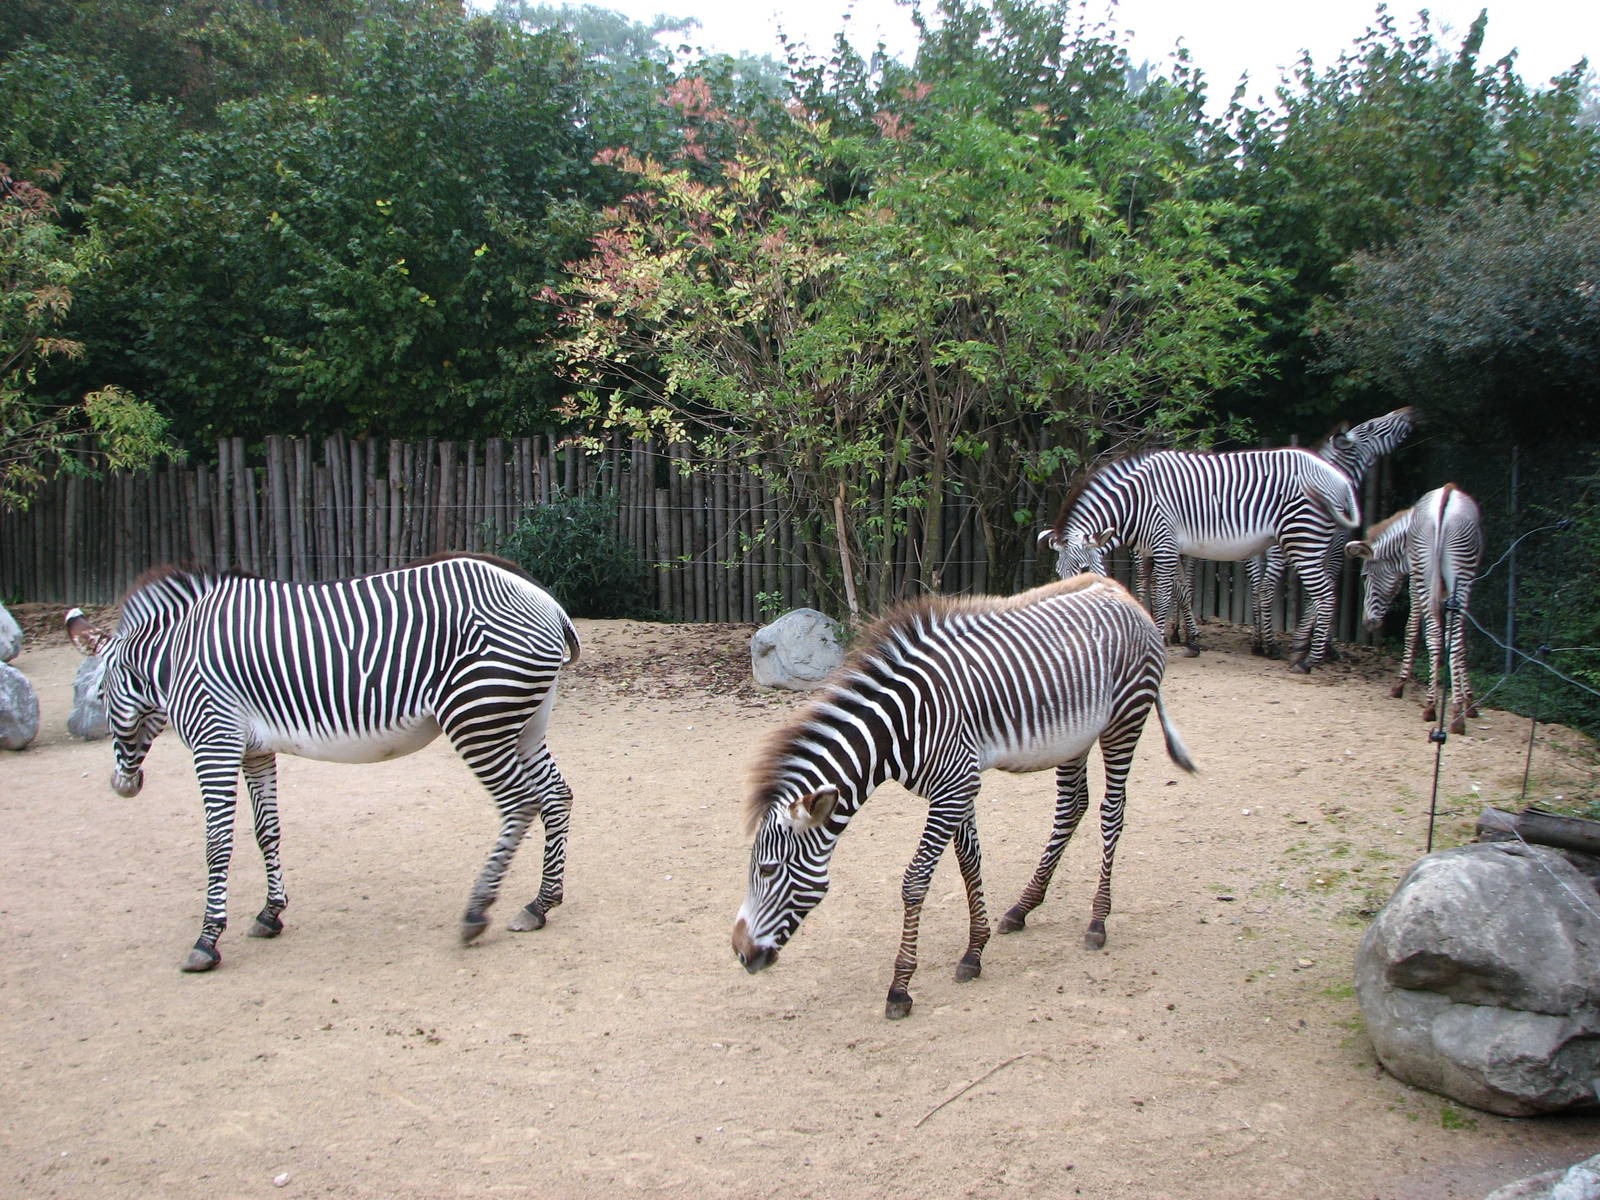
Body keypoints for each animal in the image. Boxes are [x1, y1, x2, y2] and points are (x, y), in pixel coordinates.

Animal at [66, 553, 580, 972]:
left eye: (98, 696)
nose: (122, 786)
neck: (175, 657)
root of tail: (548, 603)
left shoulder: (215, 741)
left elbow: (216, 843)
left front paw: (207, 940)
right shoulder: (254, 750)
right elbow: (266, 830)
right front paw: (270, 913)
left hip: (476, 718)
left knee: (519, 804)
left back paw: (477, 910)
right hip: (523, 721)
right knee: (556, 795)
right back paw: (540, 904)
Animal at [731, 575, 1195, 1020]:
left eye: (768, 871)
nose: (740, 954)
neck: (898, 729)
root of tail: (1120, 591)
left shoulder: (953, 789)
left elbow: (915, 882)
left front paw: (900, 987)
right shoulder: (957, 787)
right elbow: (970, 863)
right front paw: (975, 952)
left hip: (1125, 720)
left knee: (1111, 811)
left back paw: (1098, 921)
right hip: (1075, 738)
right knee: (1072, 807)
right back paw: (1022, 908)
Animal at [1043, 446, 1361, 671]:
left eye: (1085, 569)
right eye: (1059, 573)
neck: (1134, 505)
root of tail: (1341, 479)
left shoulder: (1164, 543)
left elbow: (1162, 596)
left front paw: (1161, 641)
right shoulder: (1166, 548)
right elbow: (1182, 592)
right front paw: (1193, 642)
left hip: (1303, 538)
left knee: (1326, 595)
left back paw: (1309, 661)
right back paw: (1298, 650)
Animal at [1247, 407, 1416, 658]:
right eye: (1371, 426)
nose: (1408, 412)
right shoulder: (1335, 550)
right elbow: (1325, 591)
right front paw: (1318, 645)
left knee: (1256, 589)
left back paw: (1259, 643)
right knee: (1265, 589)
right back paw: (1270, 645)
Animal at [1346, 484, 1483, 734]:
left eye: (1364, 576)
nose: (1367, 623)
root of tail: (1446, 494)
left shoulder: (1413, 580)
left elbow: (1411, 630)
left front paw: (1400, 684)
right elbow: (1458, 641)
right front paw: (1467, 701)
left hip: (1425, 573)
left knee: (1434, 635)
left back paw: (1431, 707)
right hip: (1459, 573)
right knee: (1455, 638)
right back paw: (1457, 717)